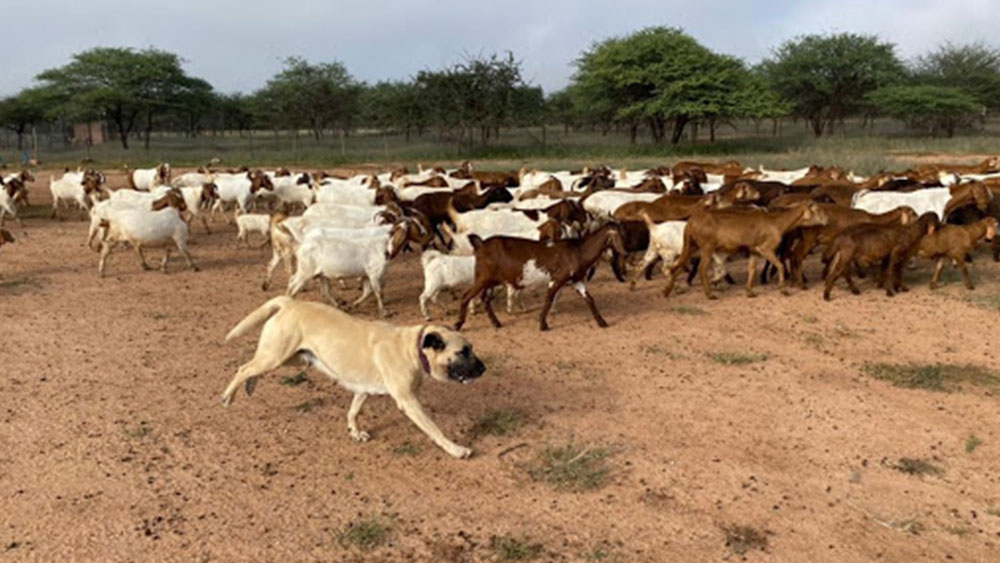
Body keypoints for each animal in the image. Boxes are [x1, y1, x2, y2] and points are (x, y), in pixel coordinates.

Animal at [221, 296, 486, 458]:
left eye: (471, 348)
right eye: (463, 351)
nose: (483, 369)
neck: (412, 348)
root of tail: (289, 302)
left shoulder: (363, 390)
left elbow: (353, 411)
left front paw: (354, 432)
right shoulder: (409, 402)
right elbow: (435, 430)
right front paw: (456, 449)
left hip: (294, 358)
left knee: (251, 368)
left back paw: (251, 386)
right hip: (276, 355)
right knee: (243, 368)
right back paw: (228, 397)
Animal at [456, 224, 624, 332]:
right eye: (619, 234)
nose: (625, 251)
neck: (578, 251)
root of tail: (481, 244)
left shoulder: (577, 281)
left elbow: (590, 300)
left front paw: (602, 322)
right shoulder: (557, 279)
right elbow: (548, 300)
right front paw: (543, 325)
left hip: (491, 280)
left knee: (485, 299)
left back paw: (496, 323)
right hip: (483, 277)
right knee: (466, 296)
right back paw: (458, 324)